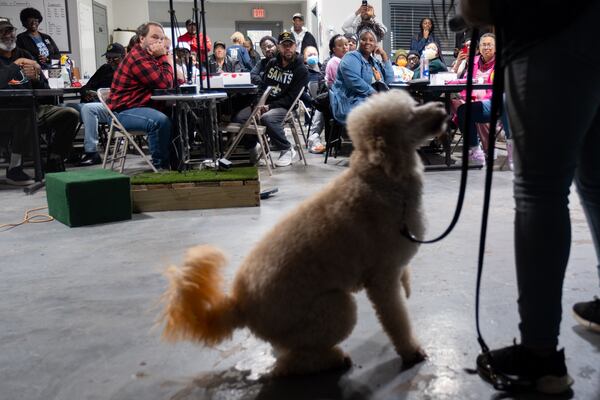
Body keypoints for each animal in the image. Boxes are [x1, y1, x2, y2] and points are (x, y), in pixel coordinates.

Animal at [159, 90, 446, 378]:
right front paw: (411, 351)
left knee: (285, 353)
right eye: (410, 115)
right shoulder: (382, 279)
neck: (379, 177)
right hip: (332, 310)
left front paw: (407, 288)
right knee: (290, 362)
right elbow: (397, 319)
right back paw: (333, 360)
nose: (443, 108)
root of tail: (239, 306)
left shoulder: (393, 268)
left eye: (414, 103)